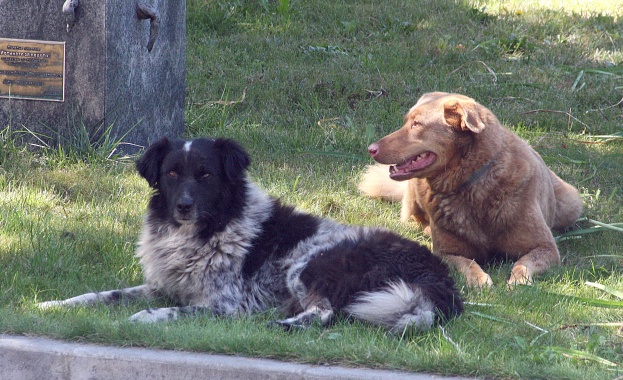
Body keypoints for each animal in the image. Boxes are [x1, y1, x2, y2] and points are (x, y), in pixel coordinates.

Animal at [35, 137, 464, 332]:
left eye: (206, 175)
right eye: (172, 173)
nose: (183, 206)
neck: (207, 230)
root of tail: (438, 277)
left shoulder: (225, 305)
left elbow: (173, 310)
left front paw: (145, 317)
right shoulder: (162, 285)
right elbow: (100, 295)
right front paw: (51, 305)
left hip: (311, 263)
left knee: (325, 312)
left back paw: (281, 325)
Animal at [360, 93, 584, 288]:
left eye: (416, 124)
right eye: (406, 121)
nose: (371, 148)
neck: (471, 186)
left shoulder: (545, 247)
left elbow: (523, 263)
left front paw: (519, 280)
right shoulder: (447, 252)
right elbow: (468, 263)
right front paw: (479, 279)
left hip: (571, 204)